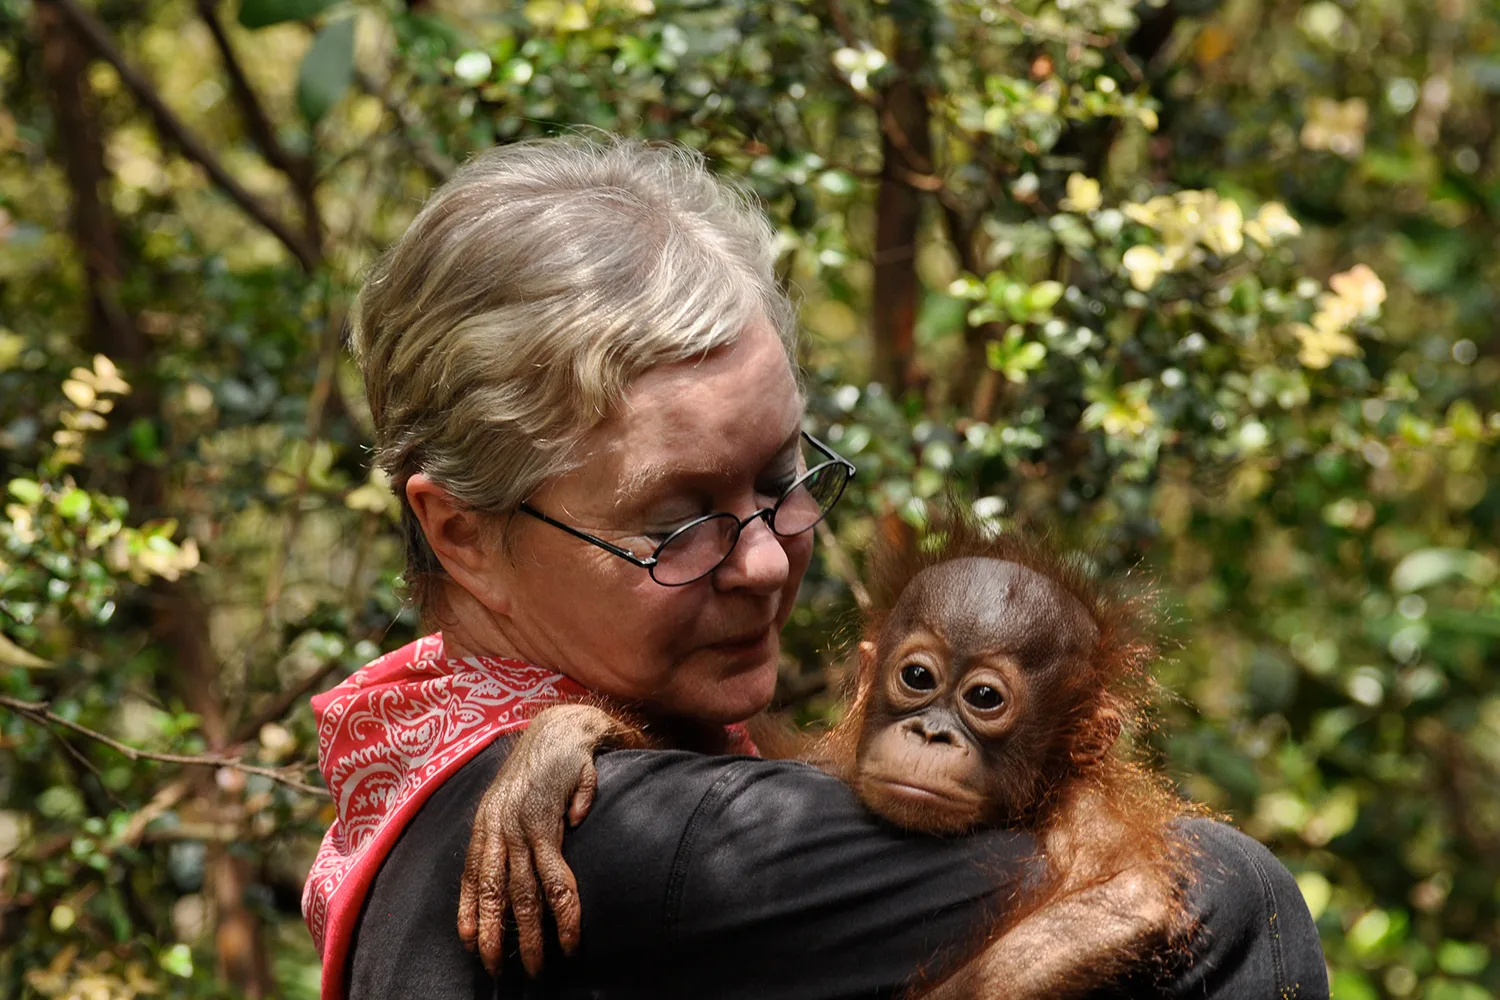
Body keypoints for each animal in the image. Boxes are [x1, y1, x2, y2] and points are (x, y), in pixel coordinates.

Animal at [456, 522, 1198, 997]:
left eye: (985, 698)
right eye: (918, 677)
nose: (931, 734)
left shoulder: (1087, 809)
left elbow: (1119, 905)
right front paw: (560, 745)